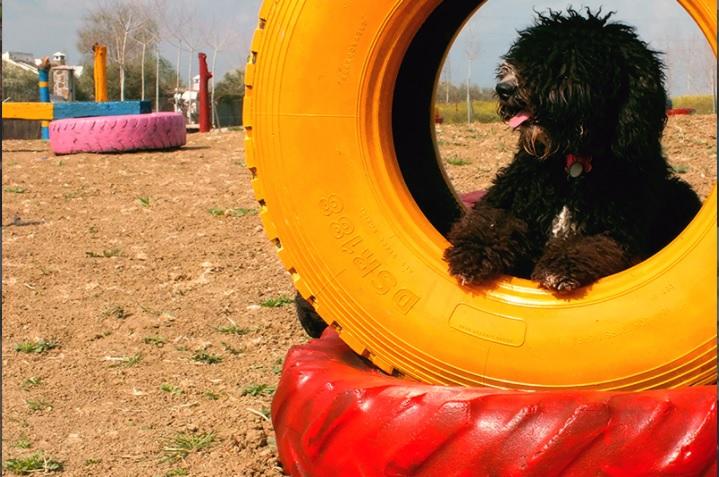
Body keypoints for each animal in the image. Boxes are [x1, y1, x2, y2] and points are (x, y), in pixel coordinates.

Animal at [444, 9, 701, 294]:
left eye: (565, 63)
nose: (504, 88)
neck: (572, 164)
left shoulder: (617, 232)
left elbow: (590, 244)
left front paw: (559, 266)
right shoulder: (508, 201)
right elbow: (492, 220)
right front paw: (472, 253)